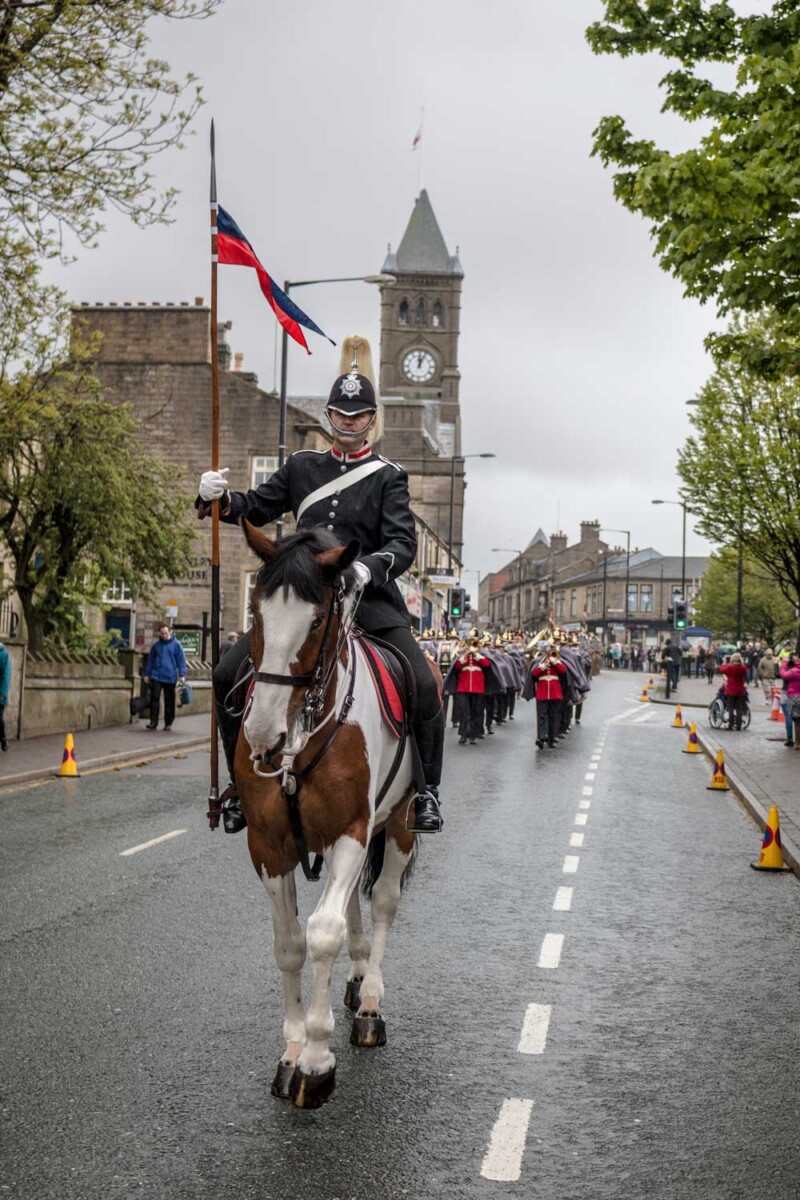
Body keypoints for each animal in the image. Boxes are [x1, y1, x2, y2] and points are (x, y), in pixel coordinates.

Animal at [235, 520, 431, 1108]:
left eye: (318, 619)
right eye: (255, 612)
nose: (264, 736)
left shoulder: (352, 829)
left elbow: (322, 933)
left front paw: (318, 1060)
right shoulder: (268, 843)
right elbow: (290, 944)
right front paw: (293, 1049)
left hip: (400, 821)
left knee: (383, 902)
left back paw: (369, 1002)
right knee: (351, 913)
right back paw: (358, 975)